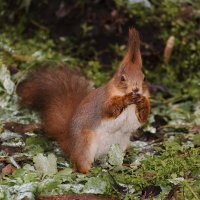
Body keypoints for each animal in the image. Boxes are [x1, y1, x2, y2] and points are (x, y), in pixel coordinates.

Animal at [16, 28, 150, 173]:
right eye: (123, 78)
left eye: (144, 78)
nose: (136, 89)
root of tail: (70, 144)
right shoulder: (102, 102)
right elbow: (110, 109)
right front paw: (126, 98)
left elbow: (142, 117)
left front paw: (142, 101)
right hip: (85, 143)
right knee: (80, 165)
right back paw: (88, 171)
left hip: (120, 144)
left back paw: (123, 165)